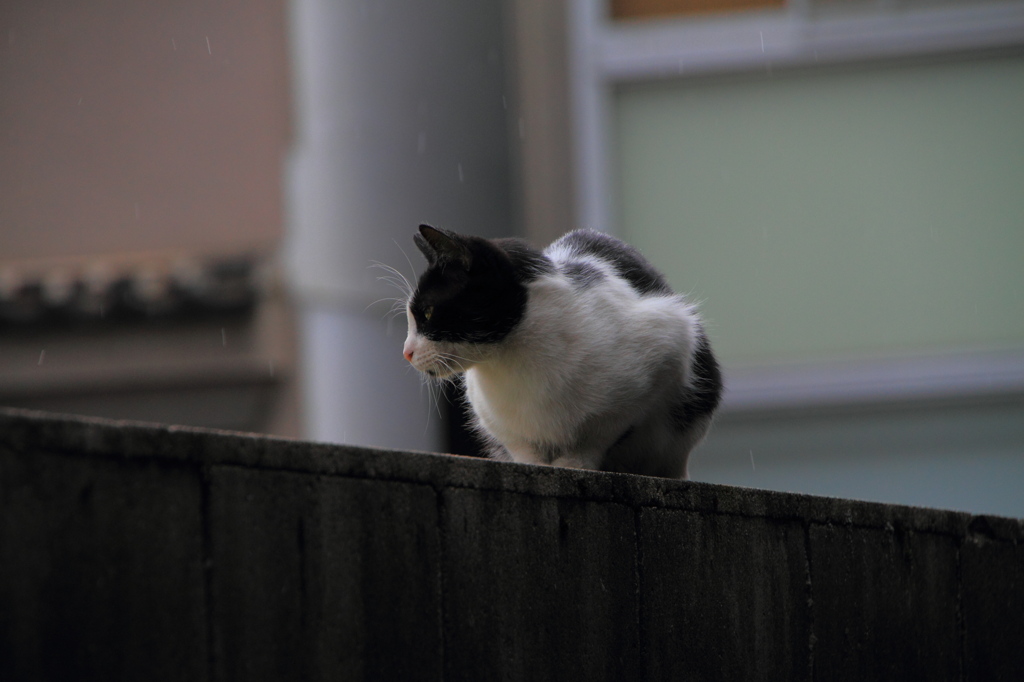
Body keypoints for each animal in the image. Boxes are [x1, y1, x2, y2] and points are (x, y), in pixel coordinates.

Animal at [399, 224, 720, 477]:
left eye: (427, 313)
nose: (406, 353)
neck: (514, 361)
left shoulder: (668, 342)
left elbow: (600, 432)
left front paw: (575, 462)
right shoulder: (493, 417)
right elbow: (521, 444)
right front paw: (535, 464)